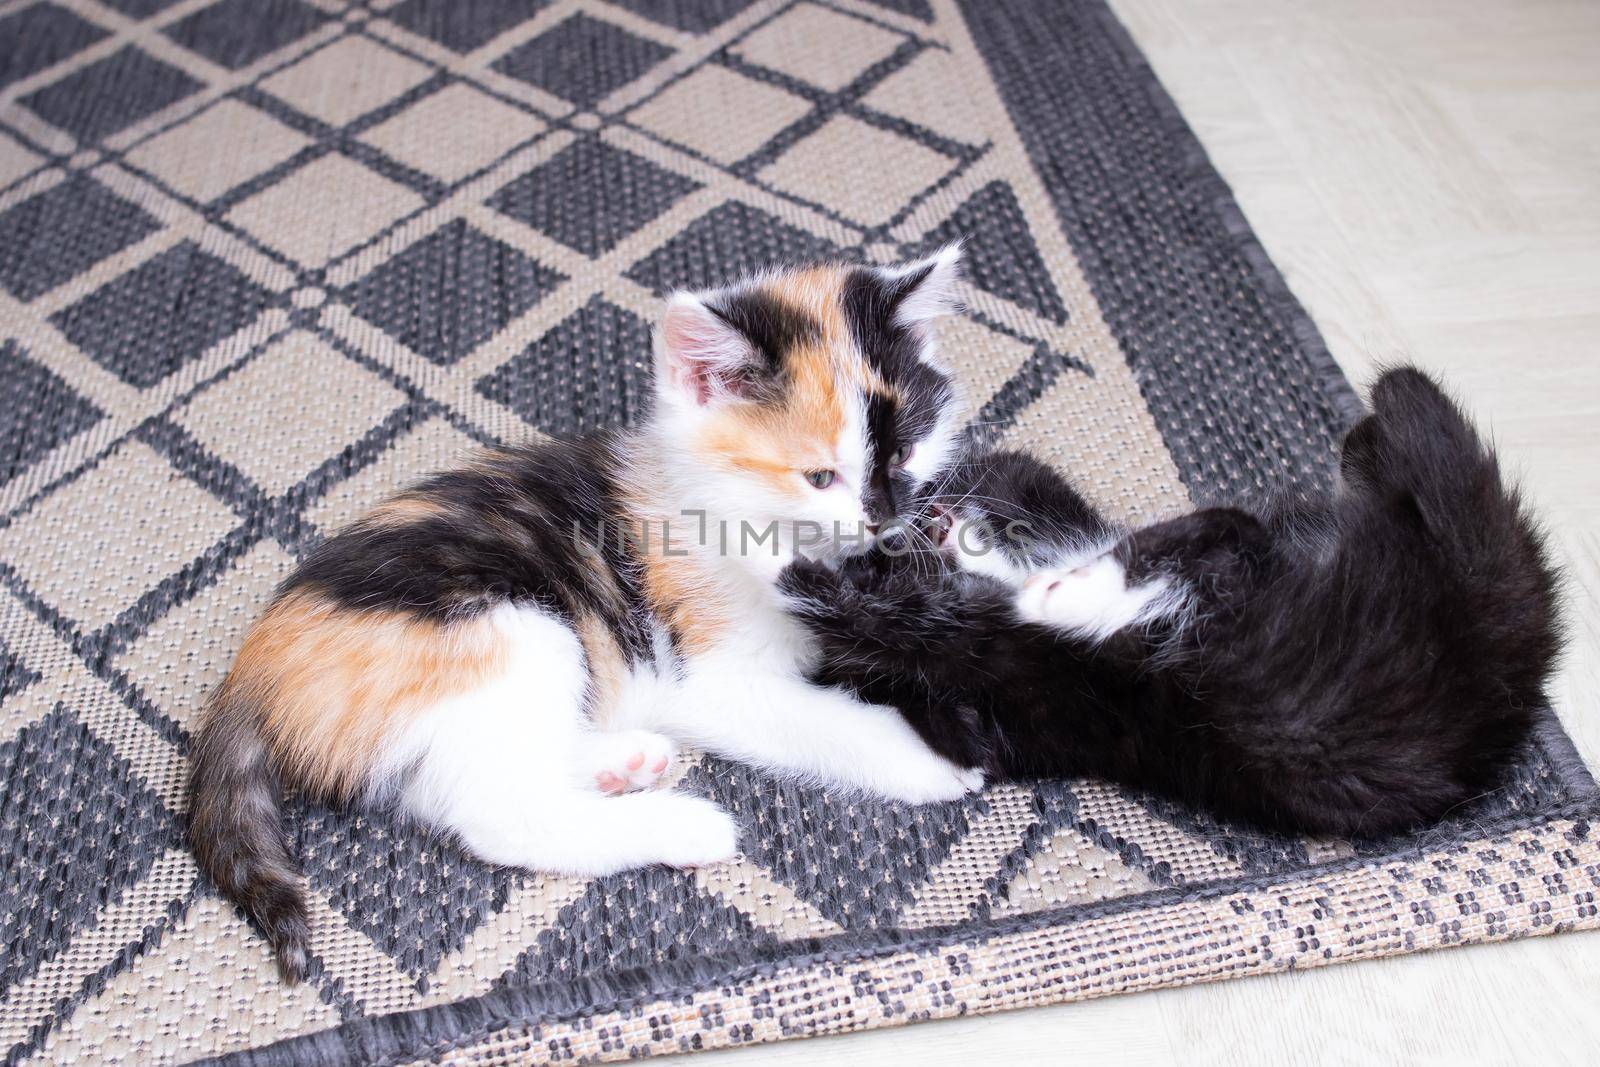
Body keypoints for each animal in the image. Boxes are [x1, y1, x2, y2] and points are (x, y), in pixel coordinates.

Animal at [193, 246, 979, 979]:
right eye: (820, 477)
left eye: (904, 453)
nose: (885, 520)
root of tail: (258, 663)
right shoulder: (709, 676)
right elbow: (823, 720)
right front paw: (933, 758)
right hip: (508, 629)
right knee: (496, 813)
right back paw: (681, 824)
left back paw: (620, 761)